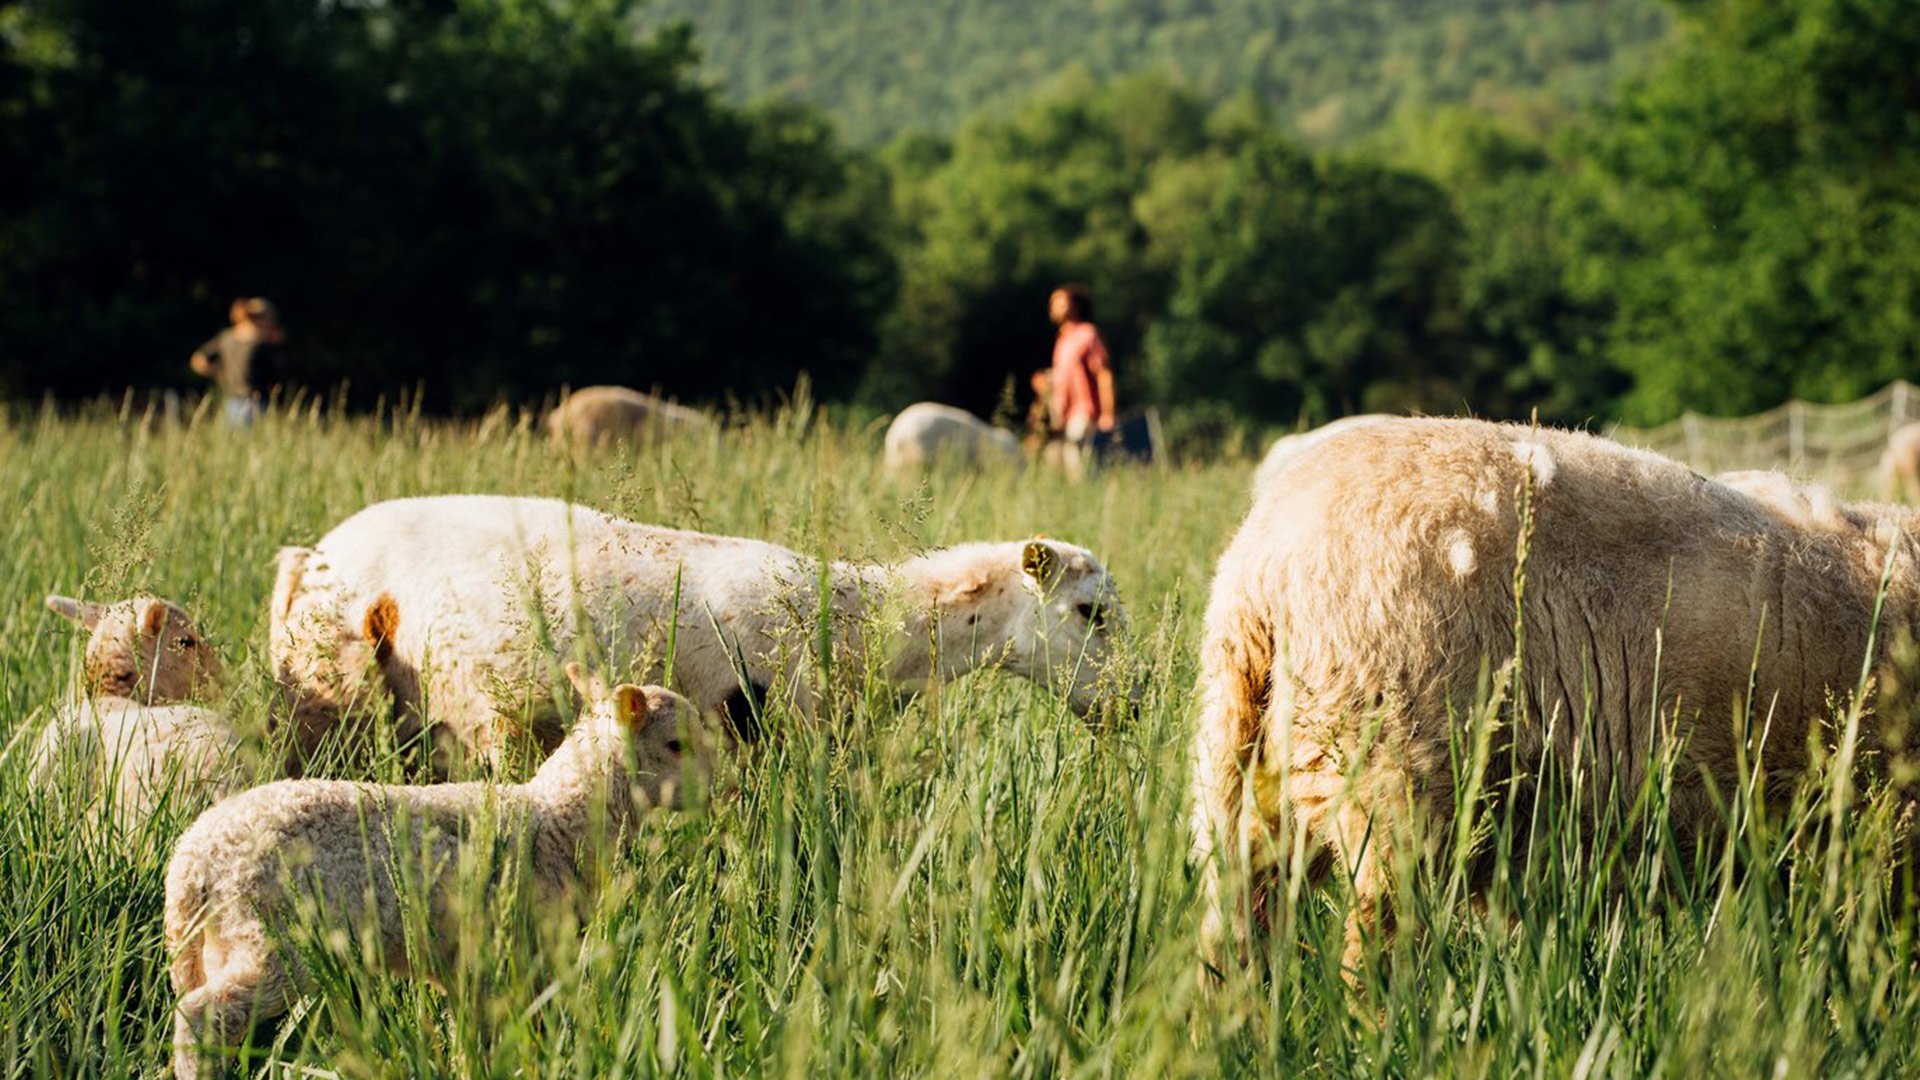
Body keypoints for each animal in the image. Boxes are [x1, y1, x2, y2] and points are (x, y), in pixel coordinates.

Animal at [167, 664, 708, 1080]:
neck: (556, 821)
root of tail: (192, 863)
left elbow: (468, 1036)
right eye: (676, 744)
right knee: (201, 1016)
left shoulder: (466, 963)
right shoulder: (512, 953)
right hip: (273, 939)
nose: (719, 789)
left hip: (213, 945)